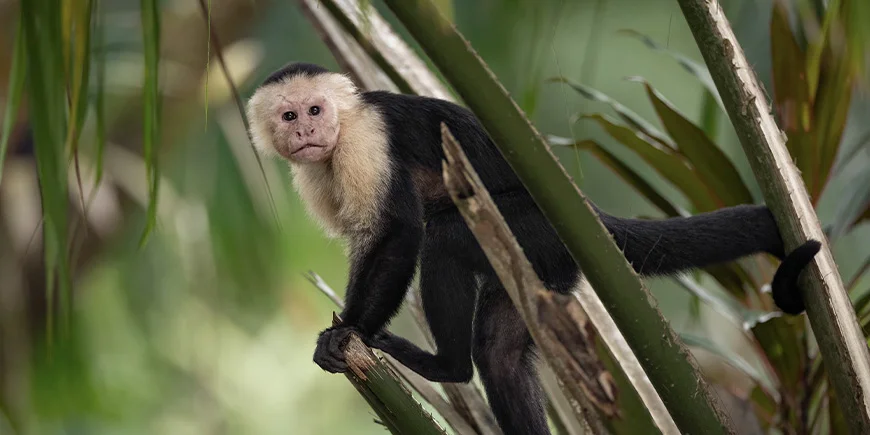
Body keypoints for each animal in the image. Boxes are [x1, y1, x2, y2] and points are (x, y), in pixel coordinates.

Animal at [245, 62, 821, 435]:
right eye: (290, 117)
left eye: (316, 108)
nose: (310, 130)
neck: (339, 138)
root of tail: (587, 215)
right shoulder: (314, 171)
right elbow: (367, 239)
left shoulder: (365, 141)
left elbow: (398, 233)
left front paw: (351, 333)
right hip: (544, 266)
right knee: (500, 353)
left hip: (532, 229)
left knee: (444, 238)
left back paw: (445, 366)